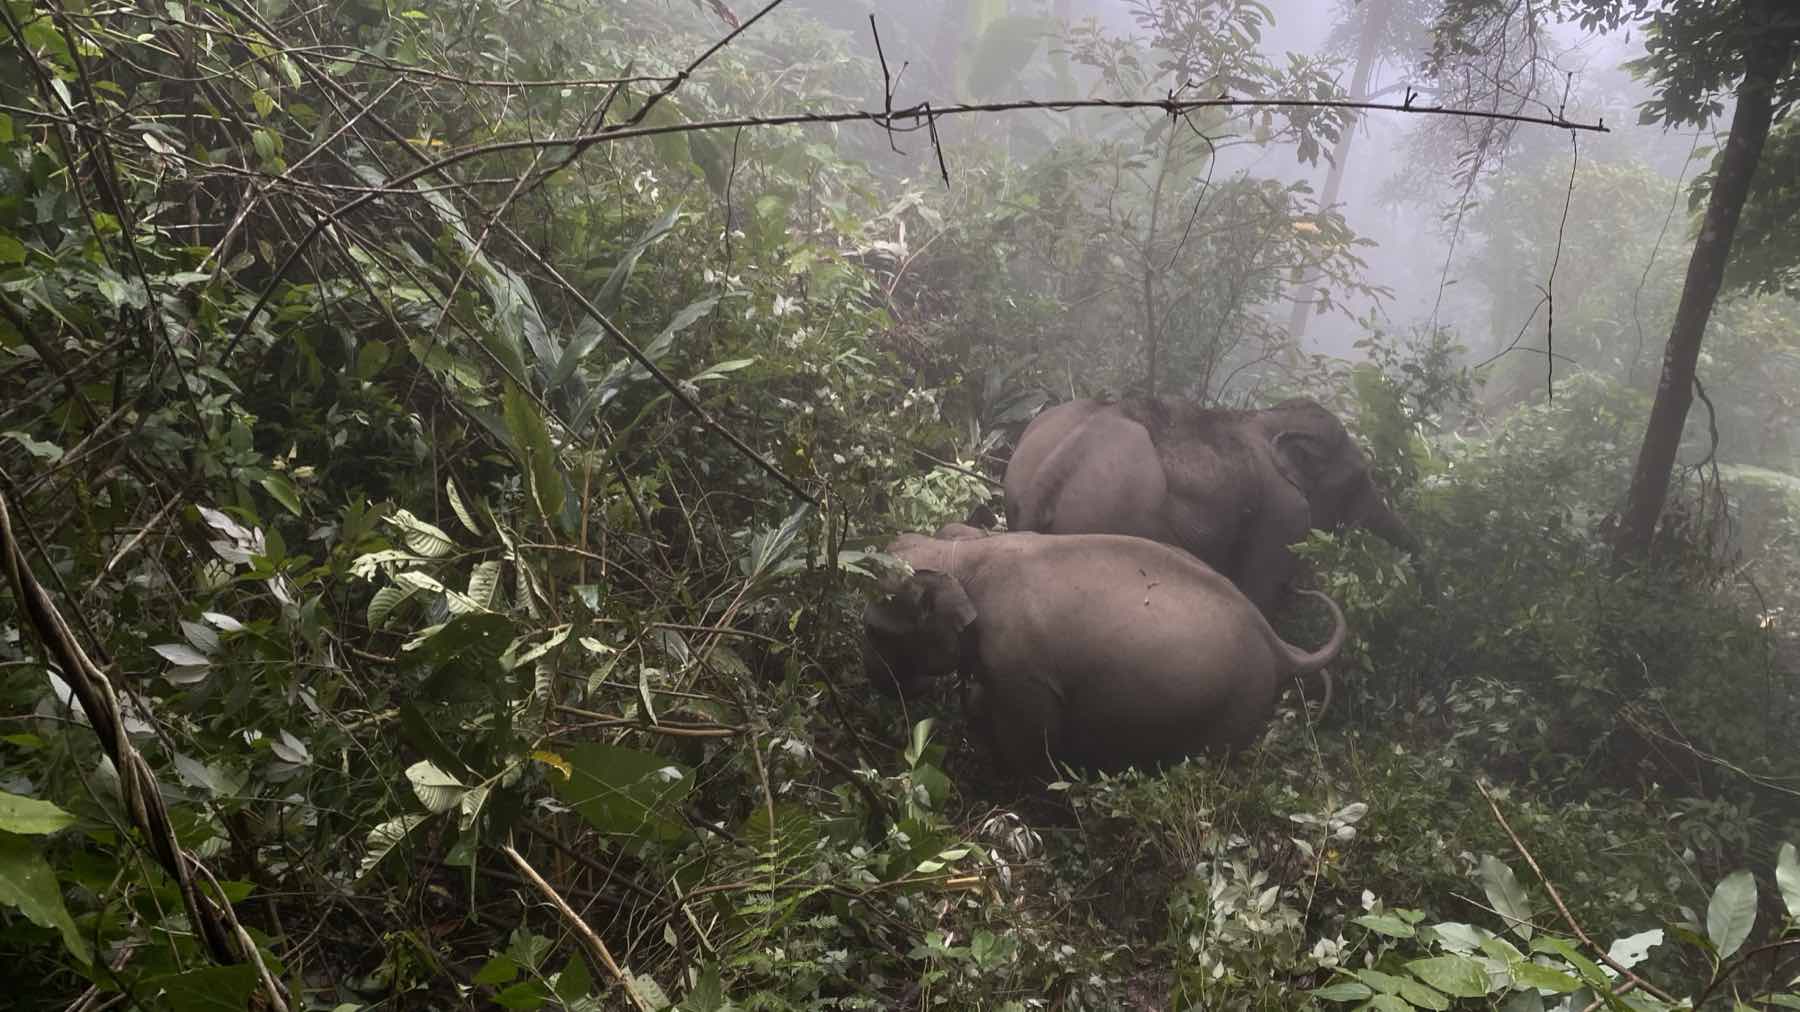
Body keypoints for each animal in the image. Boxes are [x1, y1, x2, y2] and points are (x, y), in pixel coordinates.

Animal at [860, 526, 1346, 780]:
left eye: (874, 631)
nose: (877, 685)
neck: (968, 557)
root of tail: (1278, 645)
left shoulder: (1023, 668)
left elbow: (1032, 741)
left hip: (1238, 705)